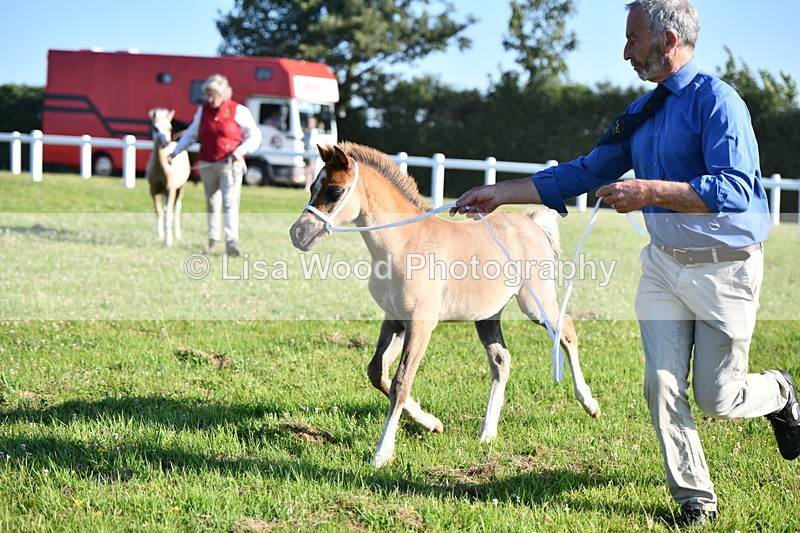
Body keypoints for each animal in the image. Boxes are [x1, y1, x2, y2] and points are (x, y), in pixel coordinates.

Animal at [146, 108, 190, 246]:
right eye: (155, 128)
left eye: (170, 128)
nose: (164, 143)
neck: (161, 168)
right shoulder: (154, 191)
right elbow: (159, 212)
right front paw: (159, 236)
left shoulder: (170, 190)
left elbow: (168, 214)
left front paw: (168, 241)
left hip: (181, 188)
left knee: (176, 208)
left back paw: (177, 234)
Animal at [289, 142, 599, 468]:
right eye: (311, 187)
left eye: (334, 191)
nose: (298, 233)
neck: (403, 243)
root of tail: (530, 221)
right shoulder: (395, 320)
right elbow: (378, 372)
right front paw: (431, 422)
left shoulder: (421, 324)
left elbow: (401, 382)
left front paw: (382, 453)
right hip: (487, 315)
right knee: (501, 360)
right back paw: (487, 432)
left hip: (534, 304)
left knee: (566, 331)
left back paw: (589, 403)